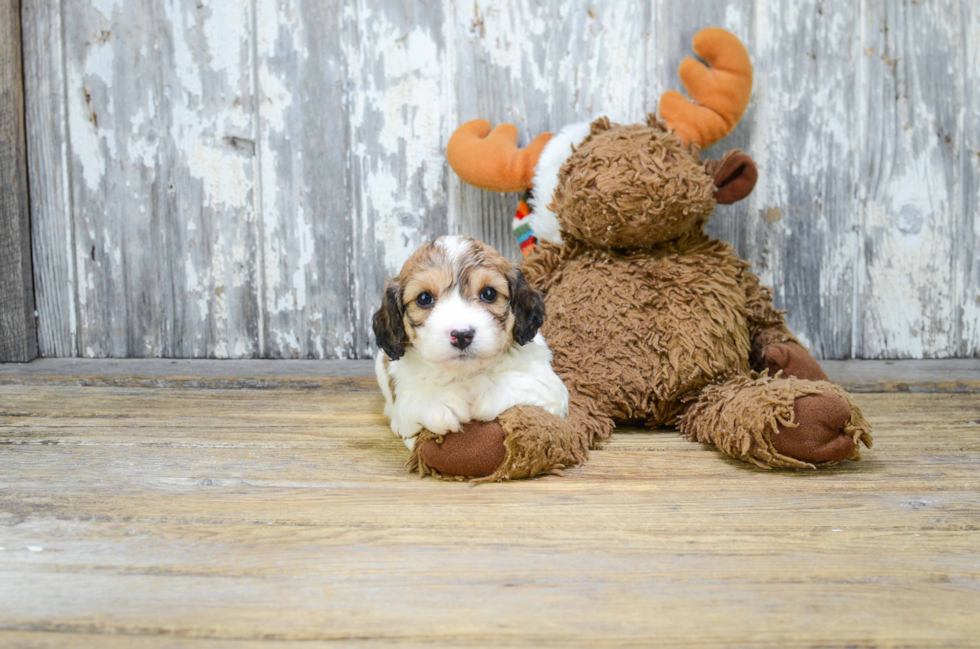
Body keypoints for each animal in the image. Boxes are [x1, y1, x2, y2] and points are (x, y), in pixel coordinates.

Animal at [376, 235, 572, 448]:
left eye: (489, 293)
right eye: (424, 298)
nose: (462, 335)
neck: (465, 372)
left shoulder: (549, 387)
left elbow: (507, 380)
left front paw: (482, 390)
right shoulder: (406, 410)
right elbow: (415, 403)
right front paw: (442, 400)